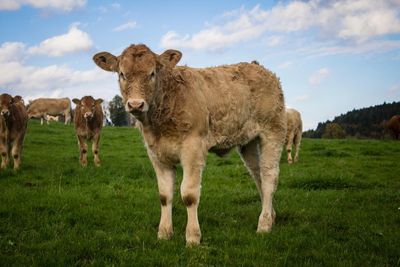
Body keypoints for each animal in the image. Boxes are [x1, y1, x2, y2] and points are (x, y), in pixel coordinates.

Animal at [94, 44, 288, 247]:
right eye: (122, 74)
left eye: (152, 73)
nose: (135, 104)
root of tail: (259, 67)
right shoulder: (156, 154)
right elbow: (164, 195)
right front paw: (164, 233)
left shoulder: (193, 148)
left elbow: (189, 194)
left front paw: (193, 237)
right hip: (248, 141)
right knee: (257, 175)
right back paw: (271, 216)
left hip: (273, 131)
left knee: (269, 176)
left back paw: (264, 224)